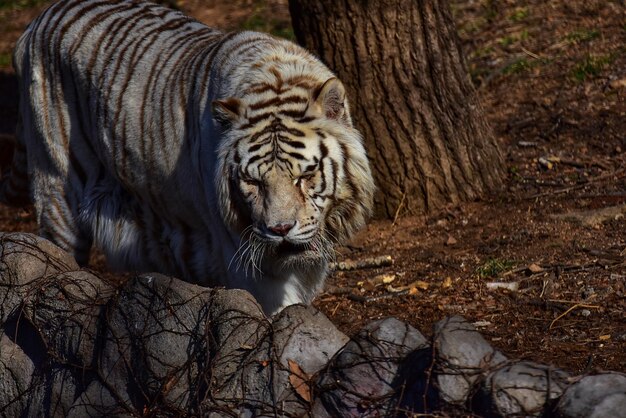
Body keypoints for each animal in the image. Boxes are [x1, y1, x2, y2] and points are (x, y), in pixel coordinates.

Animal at [2, 0, 372, 314]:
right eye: (252, 182)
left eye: (305, 176)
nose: (279, 229)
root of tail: (41, 18)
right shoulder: (247, 260)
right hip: (58, 187)